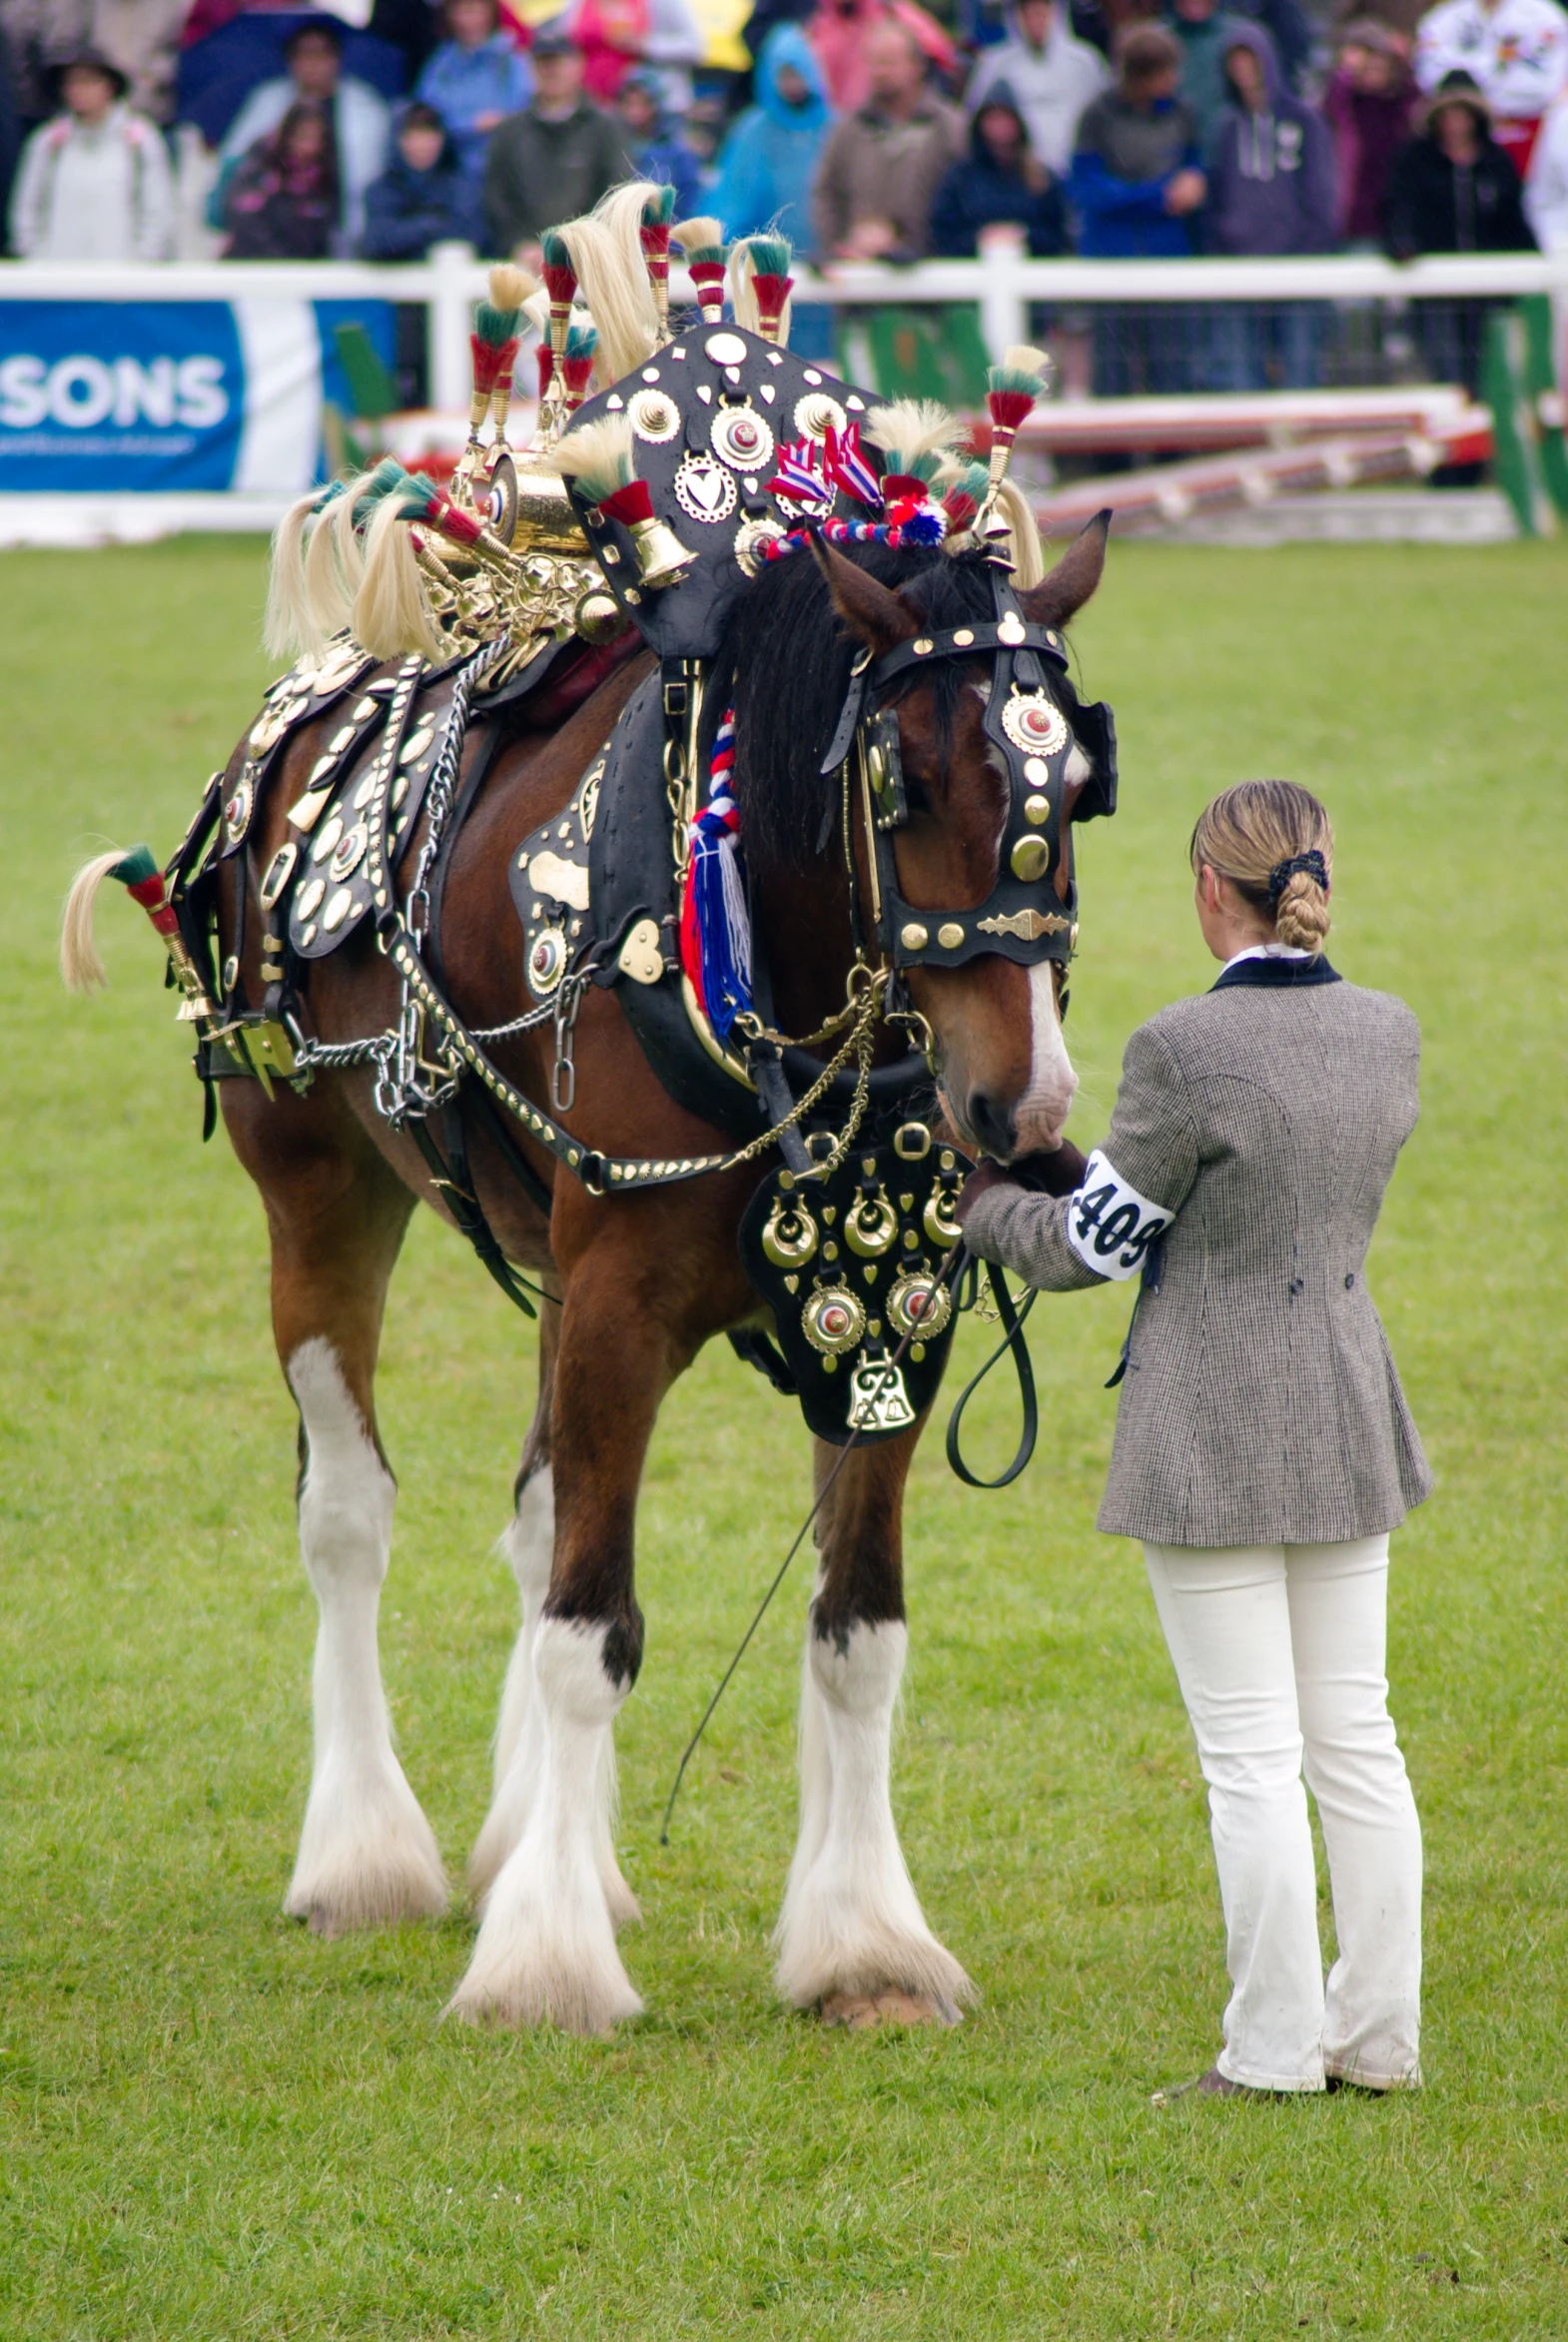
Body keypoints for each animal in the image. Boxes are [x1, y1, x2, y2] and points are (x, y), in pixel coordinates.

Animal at [67, 517, 1114, 2032]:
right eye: (902, 785)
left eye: (1077, 789)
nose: (1024, 1112)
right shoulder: (621, 1301)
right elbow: (589, 1630)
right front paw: (545, 1962)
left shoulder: (887, 1319)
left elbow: (855, 1633)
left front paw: (864, 1942)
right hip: (317, 1188)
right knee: (347, 1516)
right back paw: (365, 1853)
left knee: (536, 1503)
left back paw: (524, 1841)